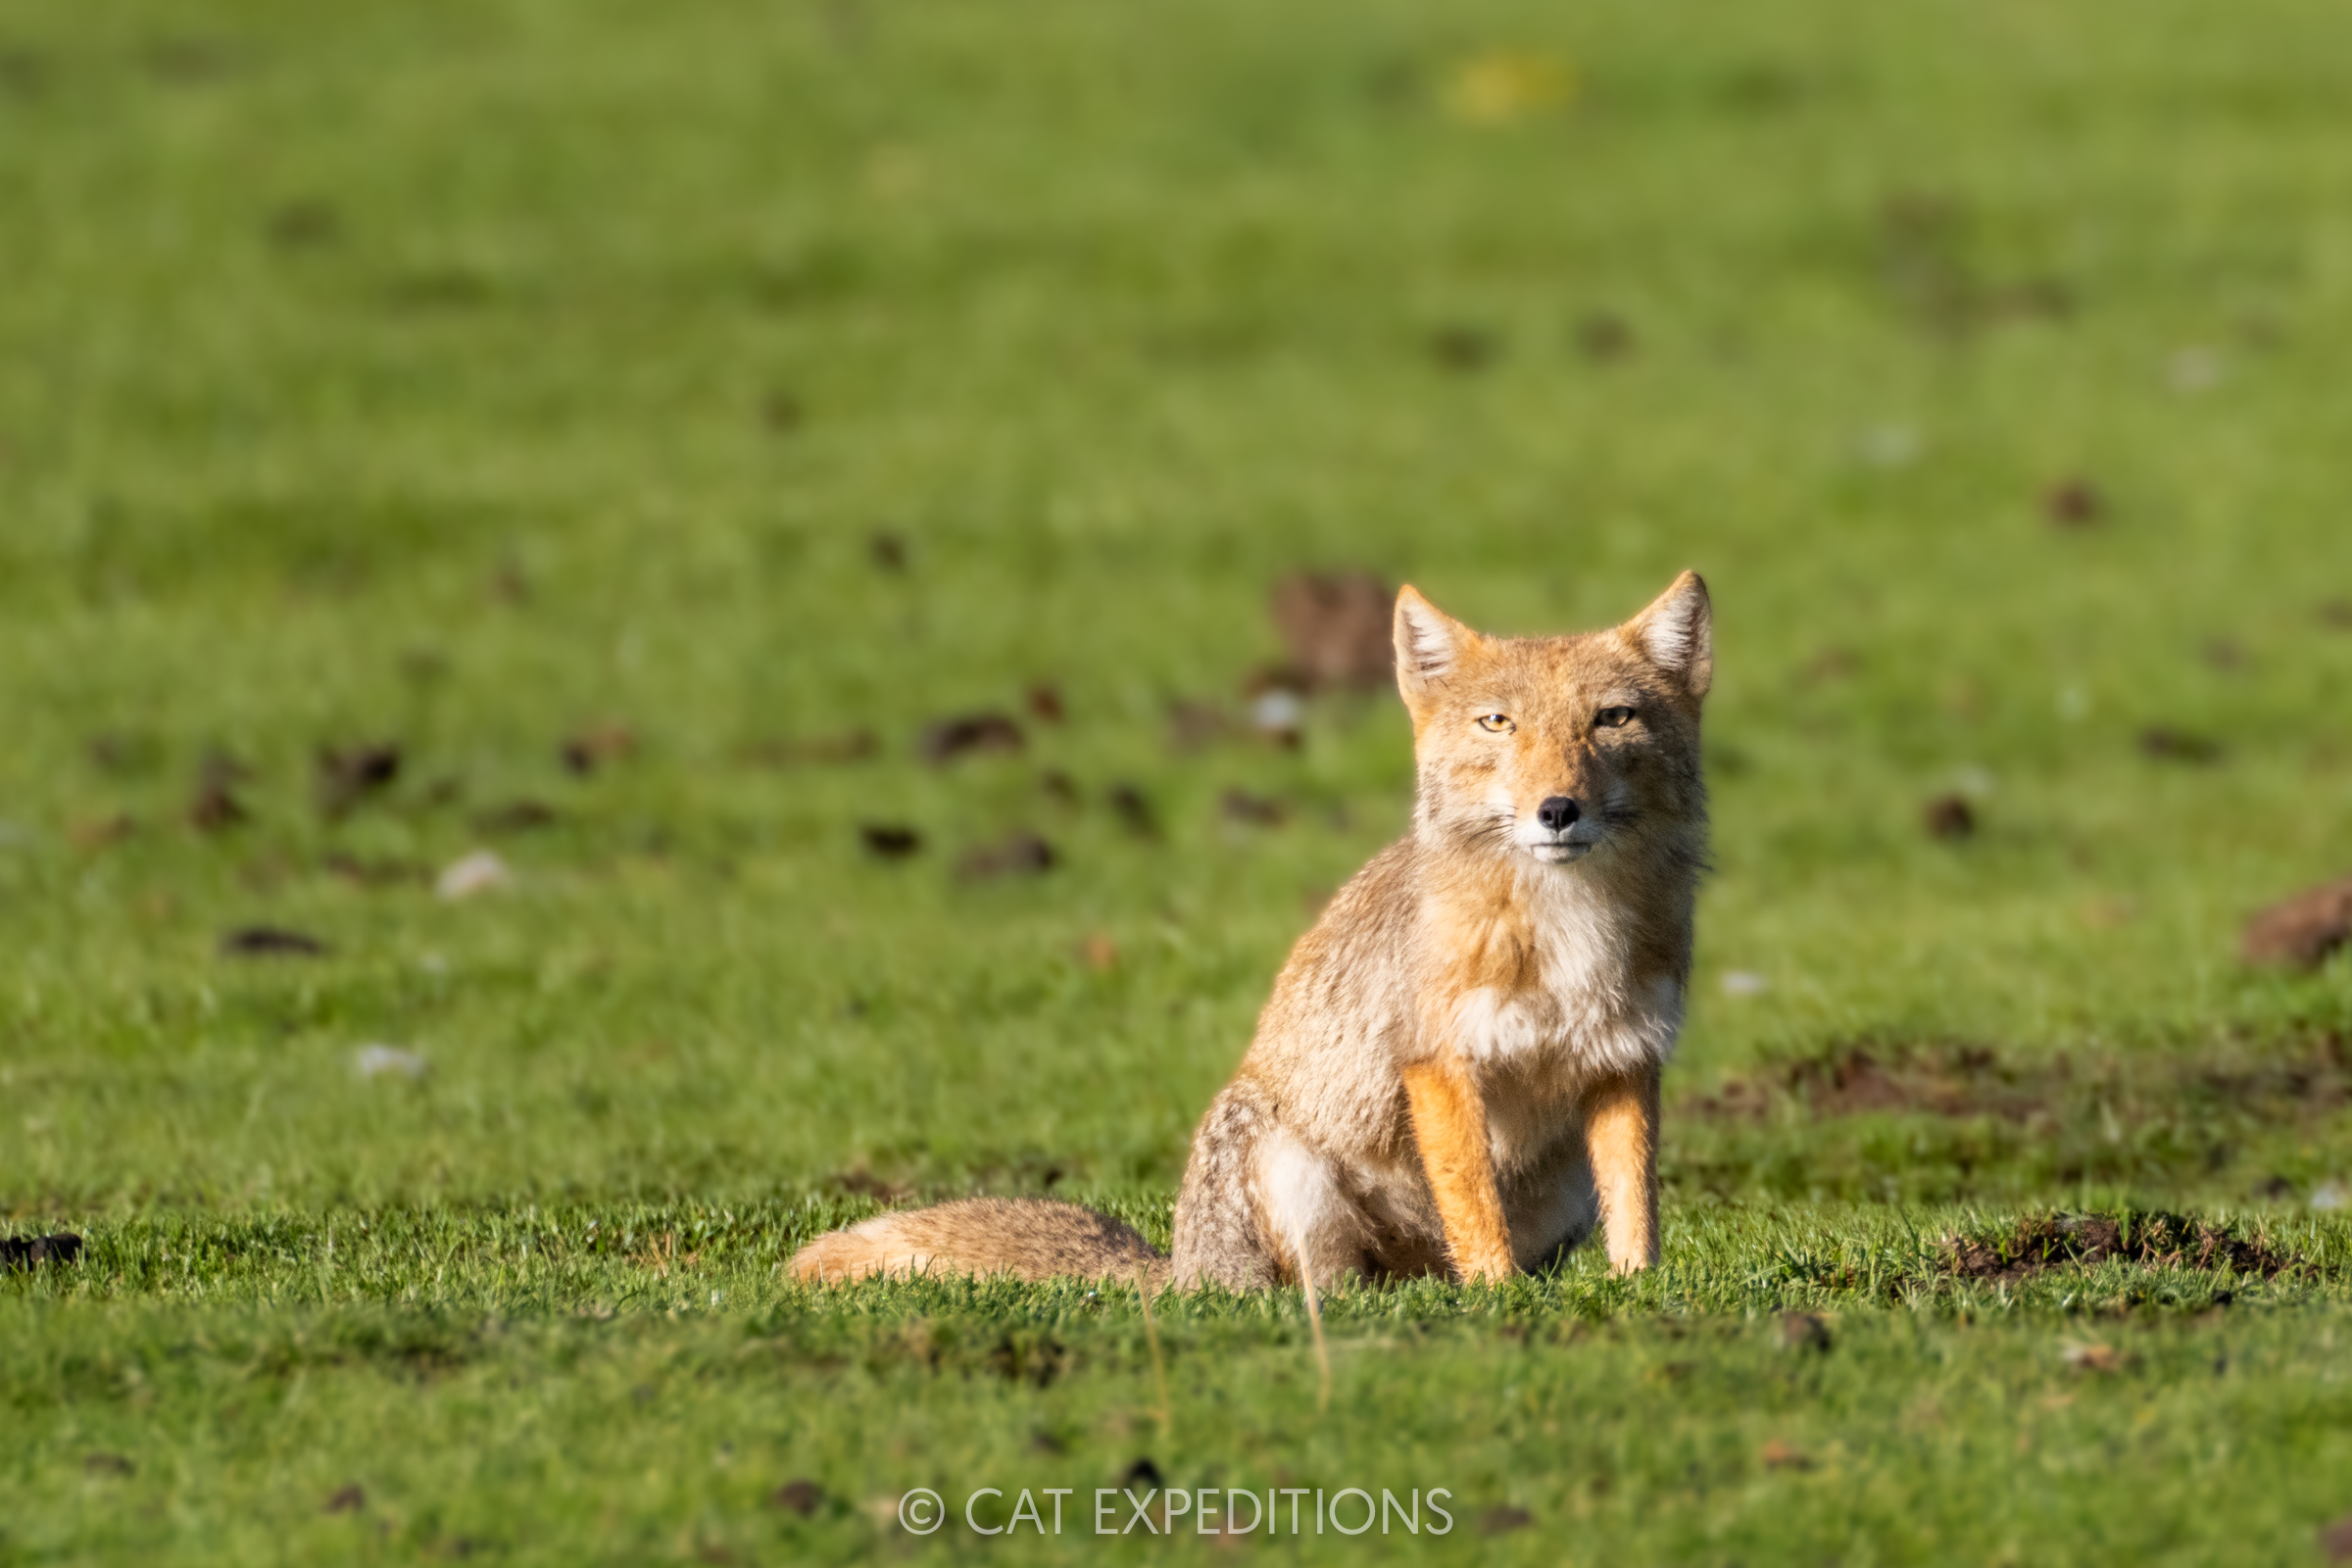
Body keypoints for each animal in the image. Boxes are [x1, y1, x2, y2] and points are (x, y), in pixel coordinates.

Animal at [789, 571, 1711, 1290]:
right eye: (1498, 724)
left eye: (1612, 719)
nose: (1557, 810)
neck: (1566, 928)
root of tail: (1181, 1269)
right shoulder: (1439, 1061)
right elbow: (1474, 1204)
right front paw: (1498, 1298)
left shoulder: (1625, 1060)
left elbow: (1638, 1211)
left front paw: (1638, 1291)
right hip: (1282, 1159)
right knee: (1321, 1292)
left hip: (1560, 1188)